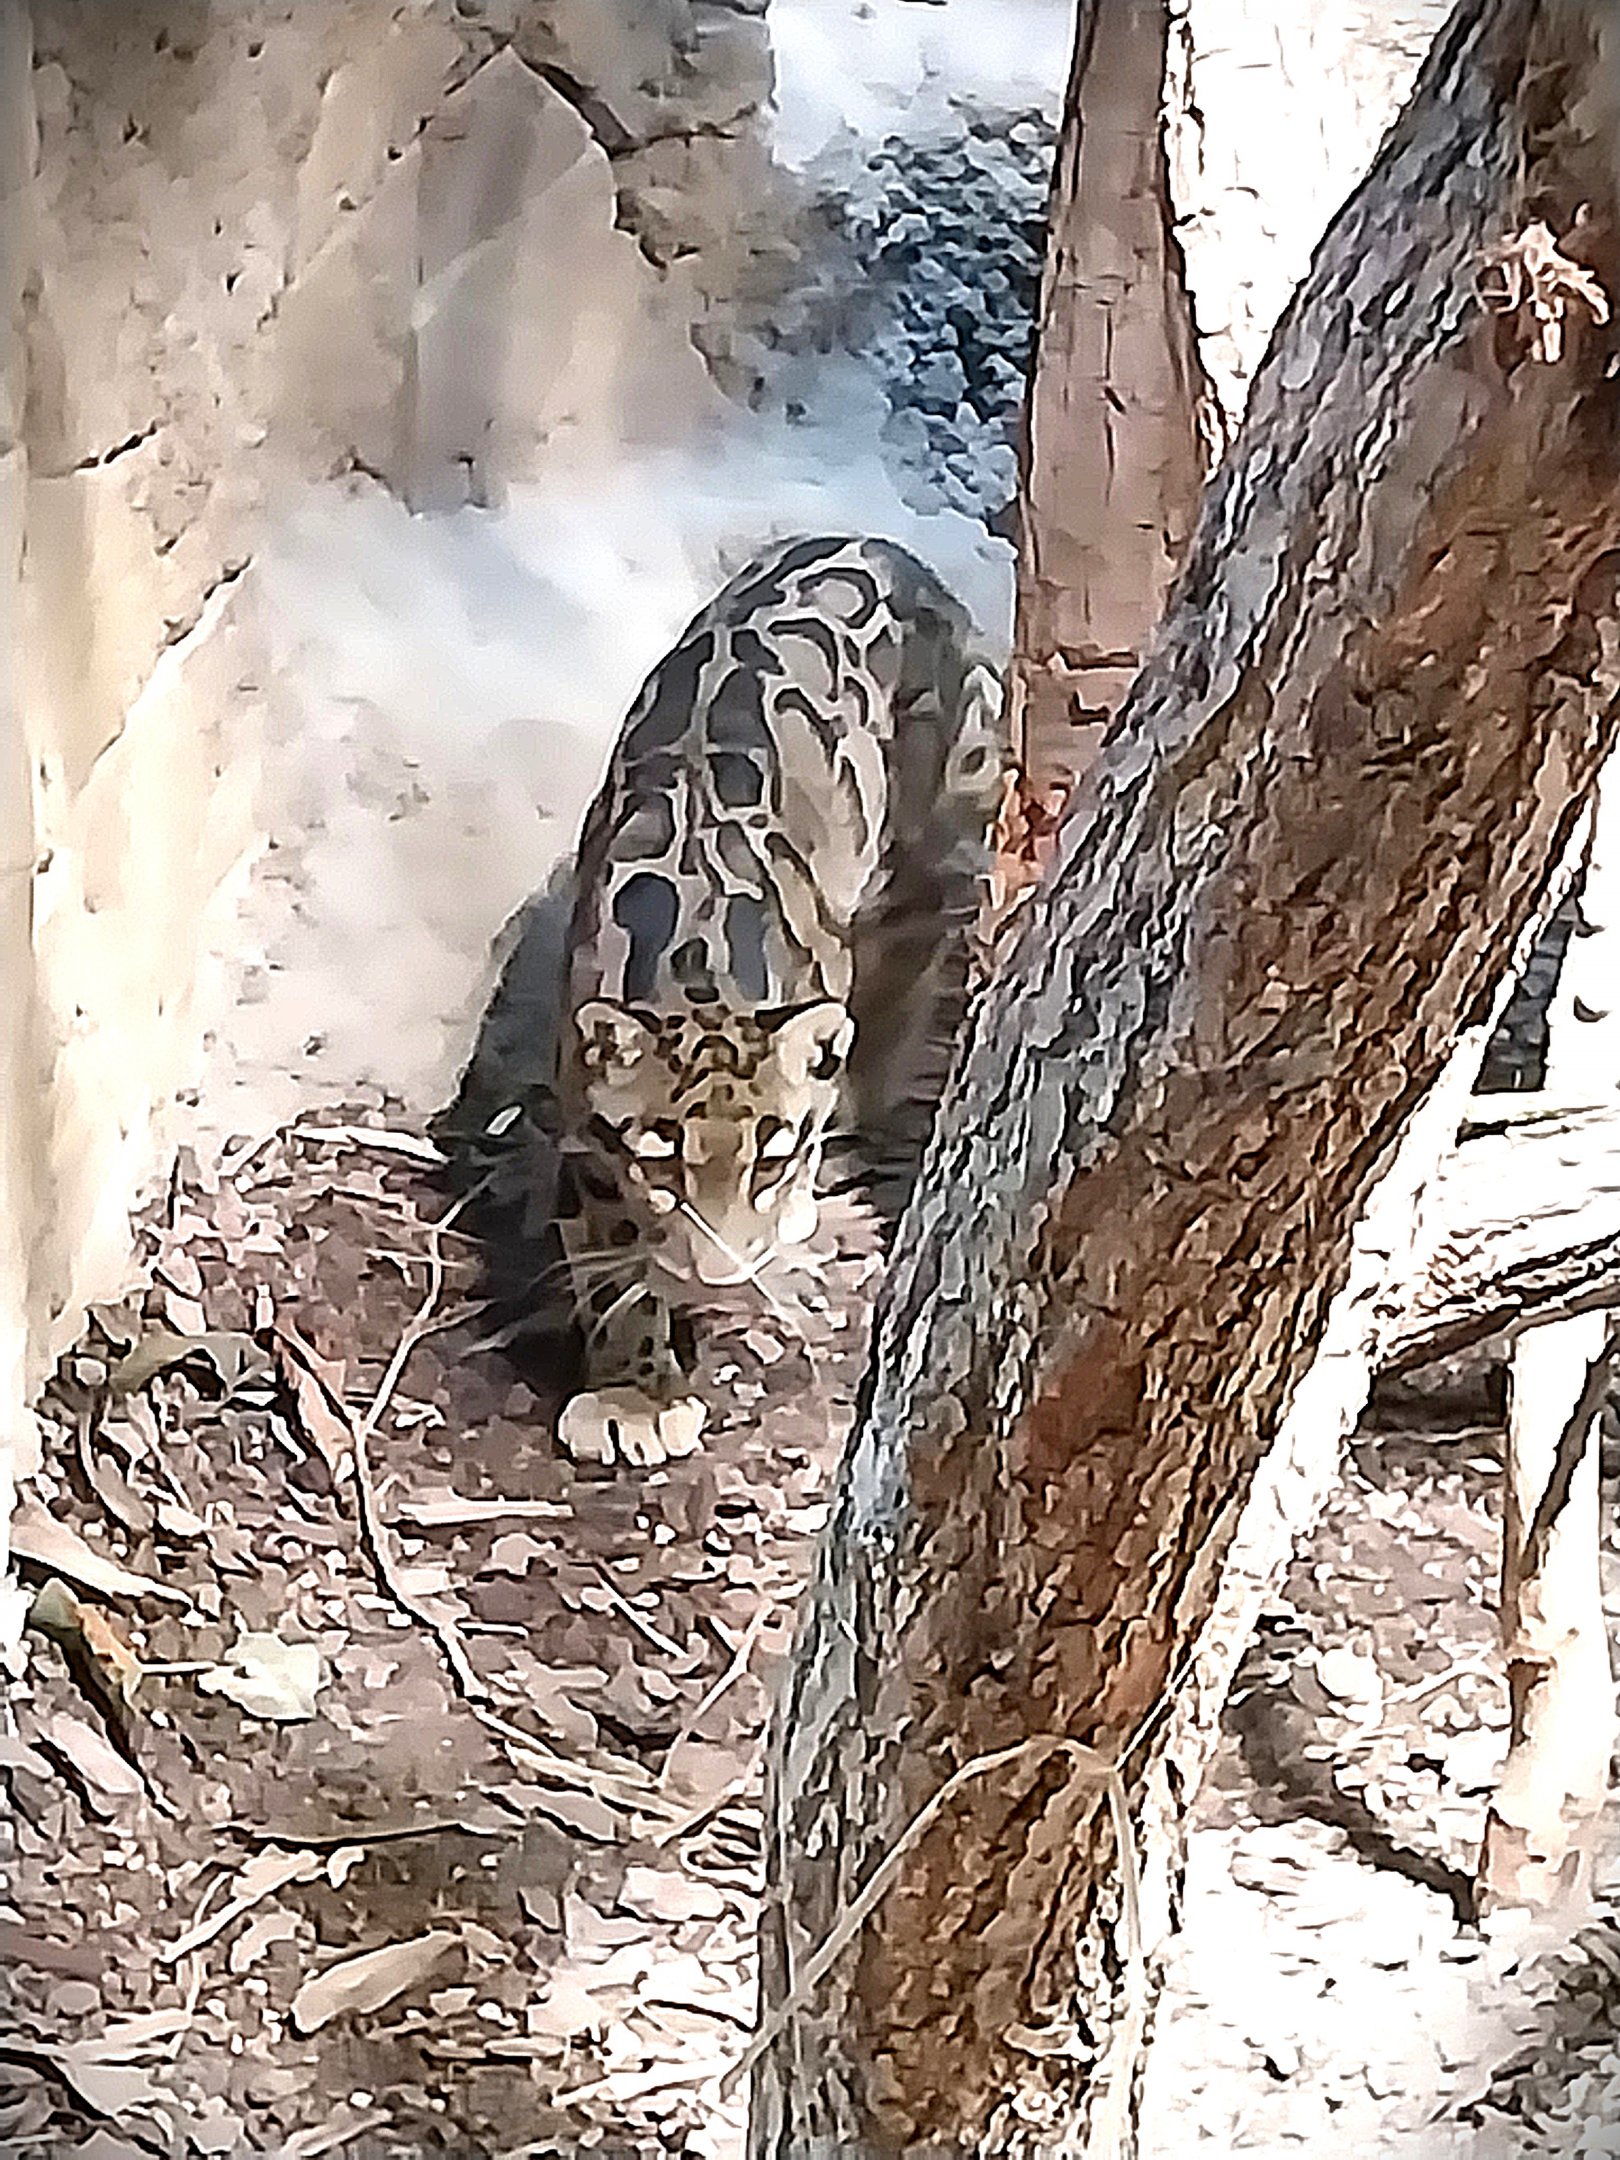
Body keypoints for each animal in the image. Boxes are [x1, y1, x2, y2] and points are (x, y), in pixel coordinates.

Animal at [548, 534, 1010, 1468]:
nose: (718, 1277)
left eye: (767, 1158)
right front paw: (634, 1388)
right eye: (660, 1161)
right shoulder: (584, 1108)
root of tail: (882, 544)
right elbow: (609, 1243)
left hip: (940, 862)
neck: (696, 973)